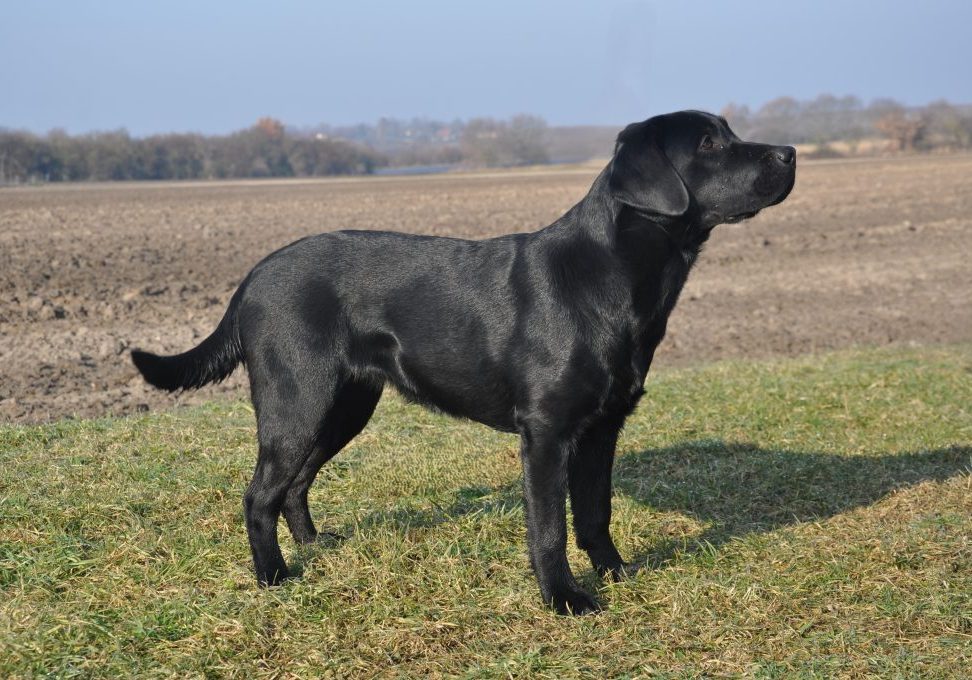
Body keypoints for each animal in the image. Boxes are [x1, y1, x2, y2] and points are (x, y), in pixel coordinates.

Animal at [133, 111, 792, 616]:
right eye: (708, 144)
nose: (788, 153)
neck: (610, 276)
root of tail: (251, 277)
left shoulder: (603, 426)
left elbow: (595, 512)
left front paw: (615, 573)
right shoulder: (546, 432)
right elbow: (549, 528)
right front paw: (564, 600)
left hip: (344, 406)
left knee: (293, 486)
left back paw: (316, 548)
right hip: (297, 402)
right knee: (258, 495)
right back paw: (273, 577)